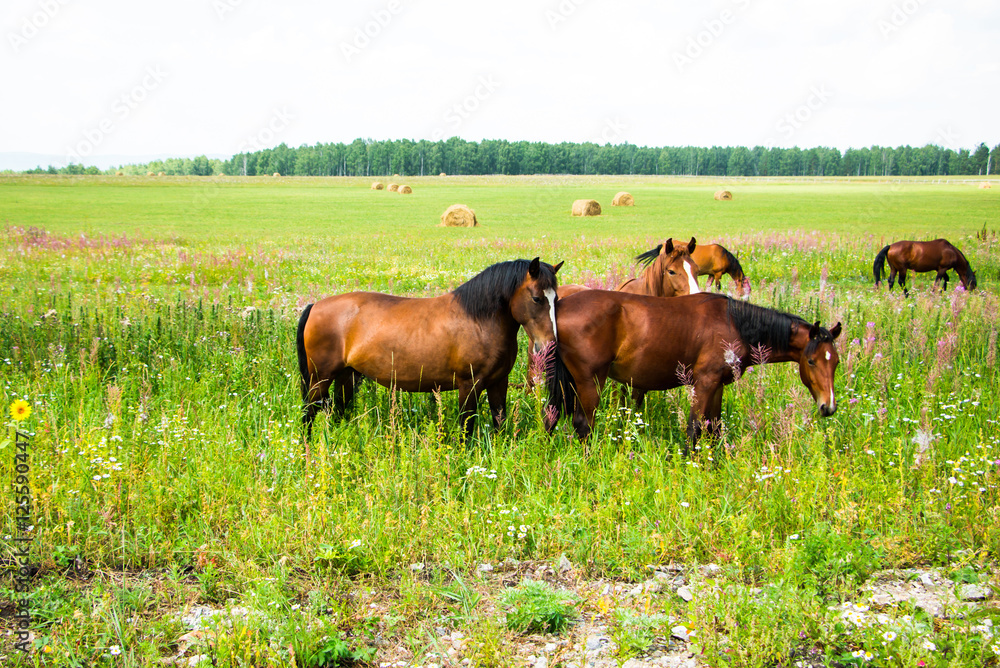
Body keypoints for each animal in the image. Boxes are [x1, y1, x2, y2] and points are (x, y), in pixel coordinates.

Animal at [296, 258, 564, 438]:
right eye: (537, 298)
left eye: (557, 299)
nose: (550, 344)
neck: (478, 320)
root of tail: (315, 306)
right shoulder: (469, 385)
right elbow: (466, 426)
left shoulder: (498, 382)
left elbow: (499, 419)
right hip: (320, 379)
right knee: (308, 413)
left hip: (347, 376)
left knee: (338, 412)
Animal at [544, 292, 840, 448]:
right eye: (811, 361)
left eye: (835, 362)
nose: (828, 406)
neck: (735, 324)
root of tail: (560, 307)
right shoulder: (705, 382)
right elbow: (695, 426)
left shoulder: (718, 385)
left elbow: (714, 426)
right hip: (590, 381)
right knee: (583, 423)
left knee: (555, 416)